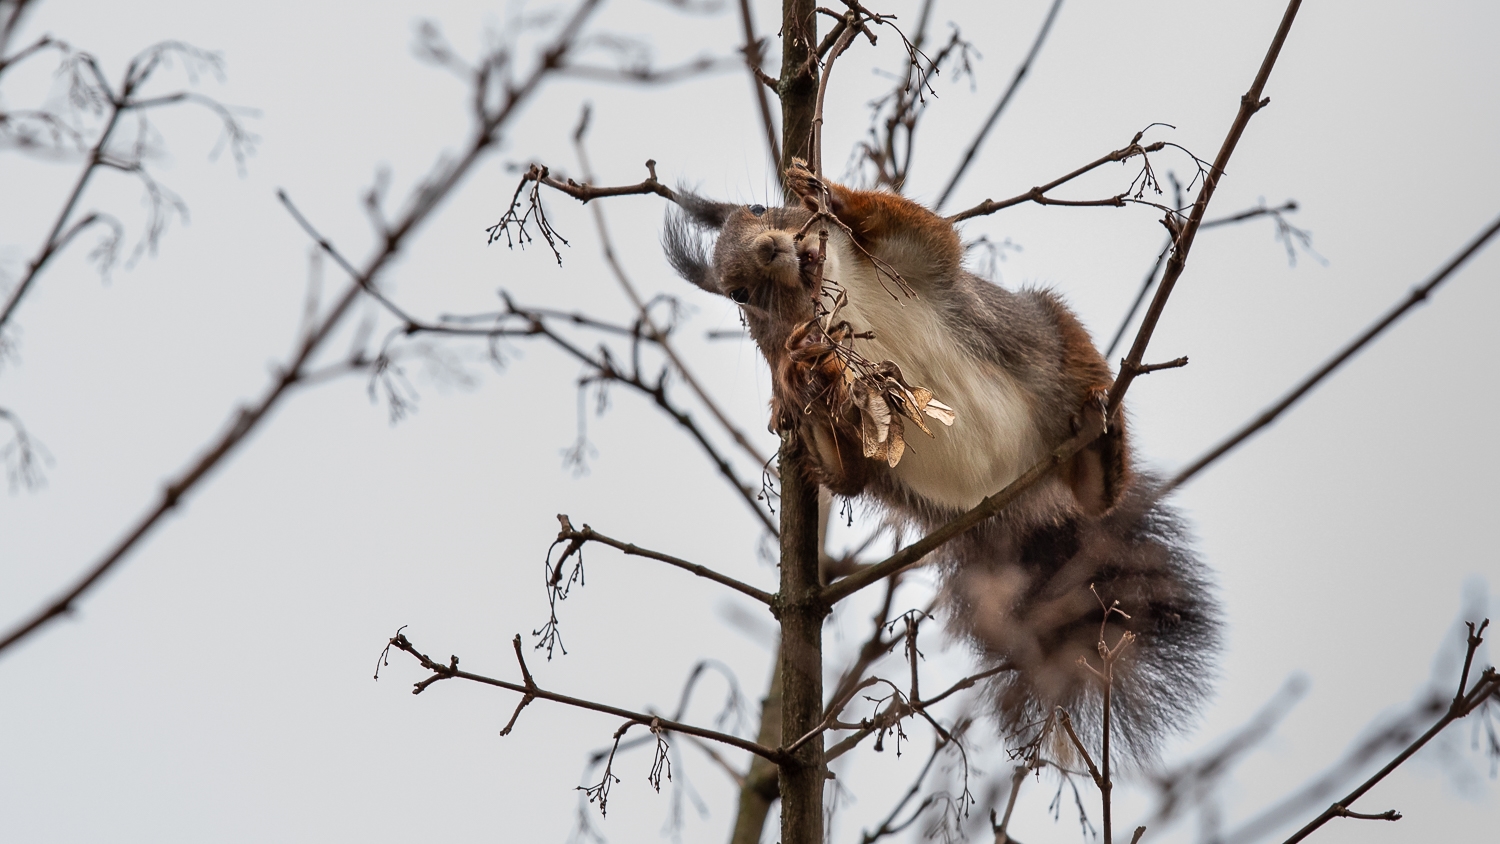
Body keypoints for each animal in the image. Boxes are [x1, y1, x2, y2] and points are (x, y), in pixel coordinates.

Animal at [669, 163, 1218, 758]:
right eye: (739, 293)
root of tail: (1020, 498)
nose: (770, 248)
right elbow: (832, 435)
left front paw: (826, 192)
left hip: (1052, 339)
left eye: (757, 209)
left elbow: (927, 230)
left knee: (1098, 485)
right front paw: (799, 374)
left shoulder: (919, 262)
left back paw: (1098, 443)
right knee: (851, 476)